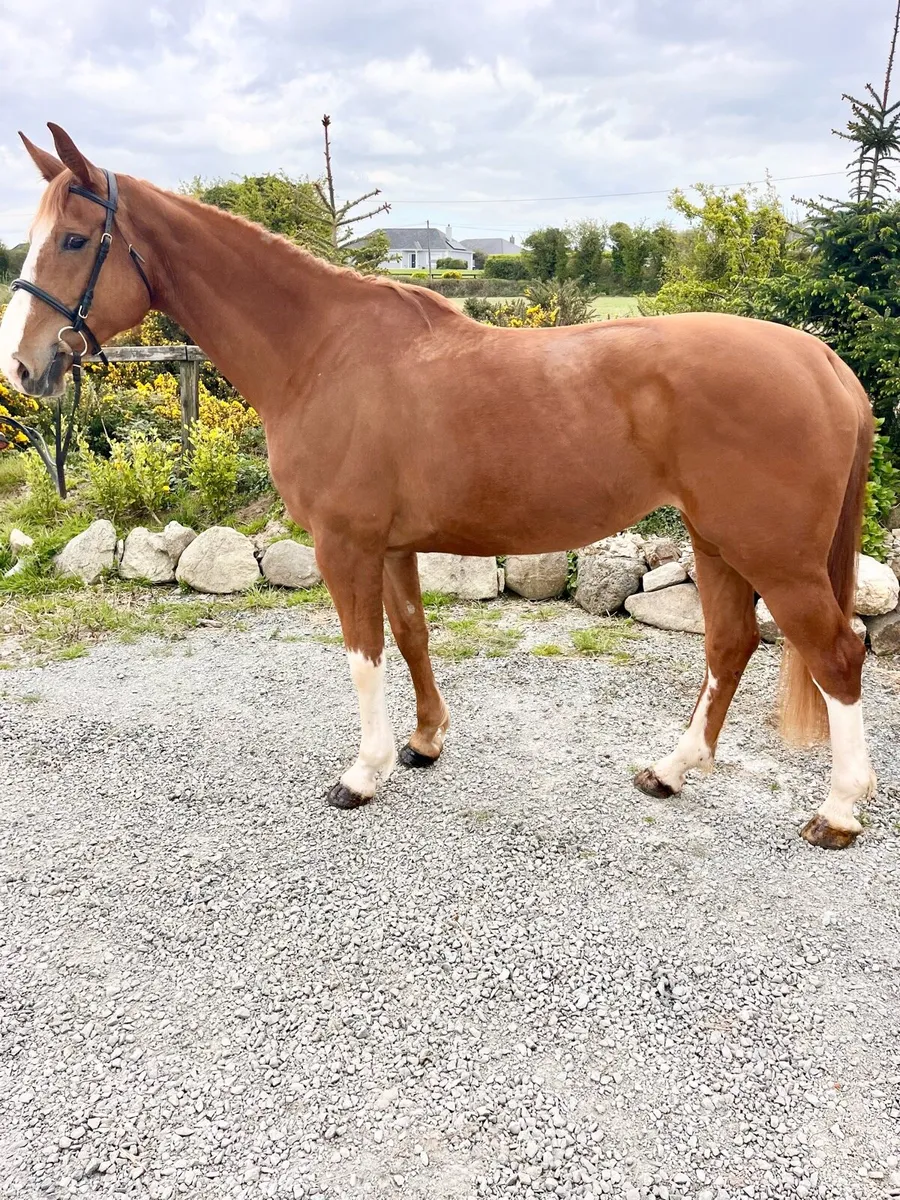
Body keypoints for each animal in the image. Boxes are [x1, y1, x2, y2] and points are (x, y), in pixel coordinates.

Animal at [0, 124, 877, 849]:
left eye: (73, 239)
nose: (23, 367)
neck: (321, 351)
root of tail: (822, 360)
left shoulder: (345, 545)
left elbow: (363, 652)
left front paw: (363, 773)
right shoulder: (392, 547)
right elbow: (412, 636)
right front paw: (424, 744)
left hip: (775, 555)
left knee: (837, 655)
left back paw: (837, 812)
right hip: (716, 538)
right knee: (729, 647)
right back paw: (670, 770)